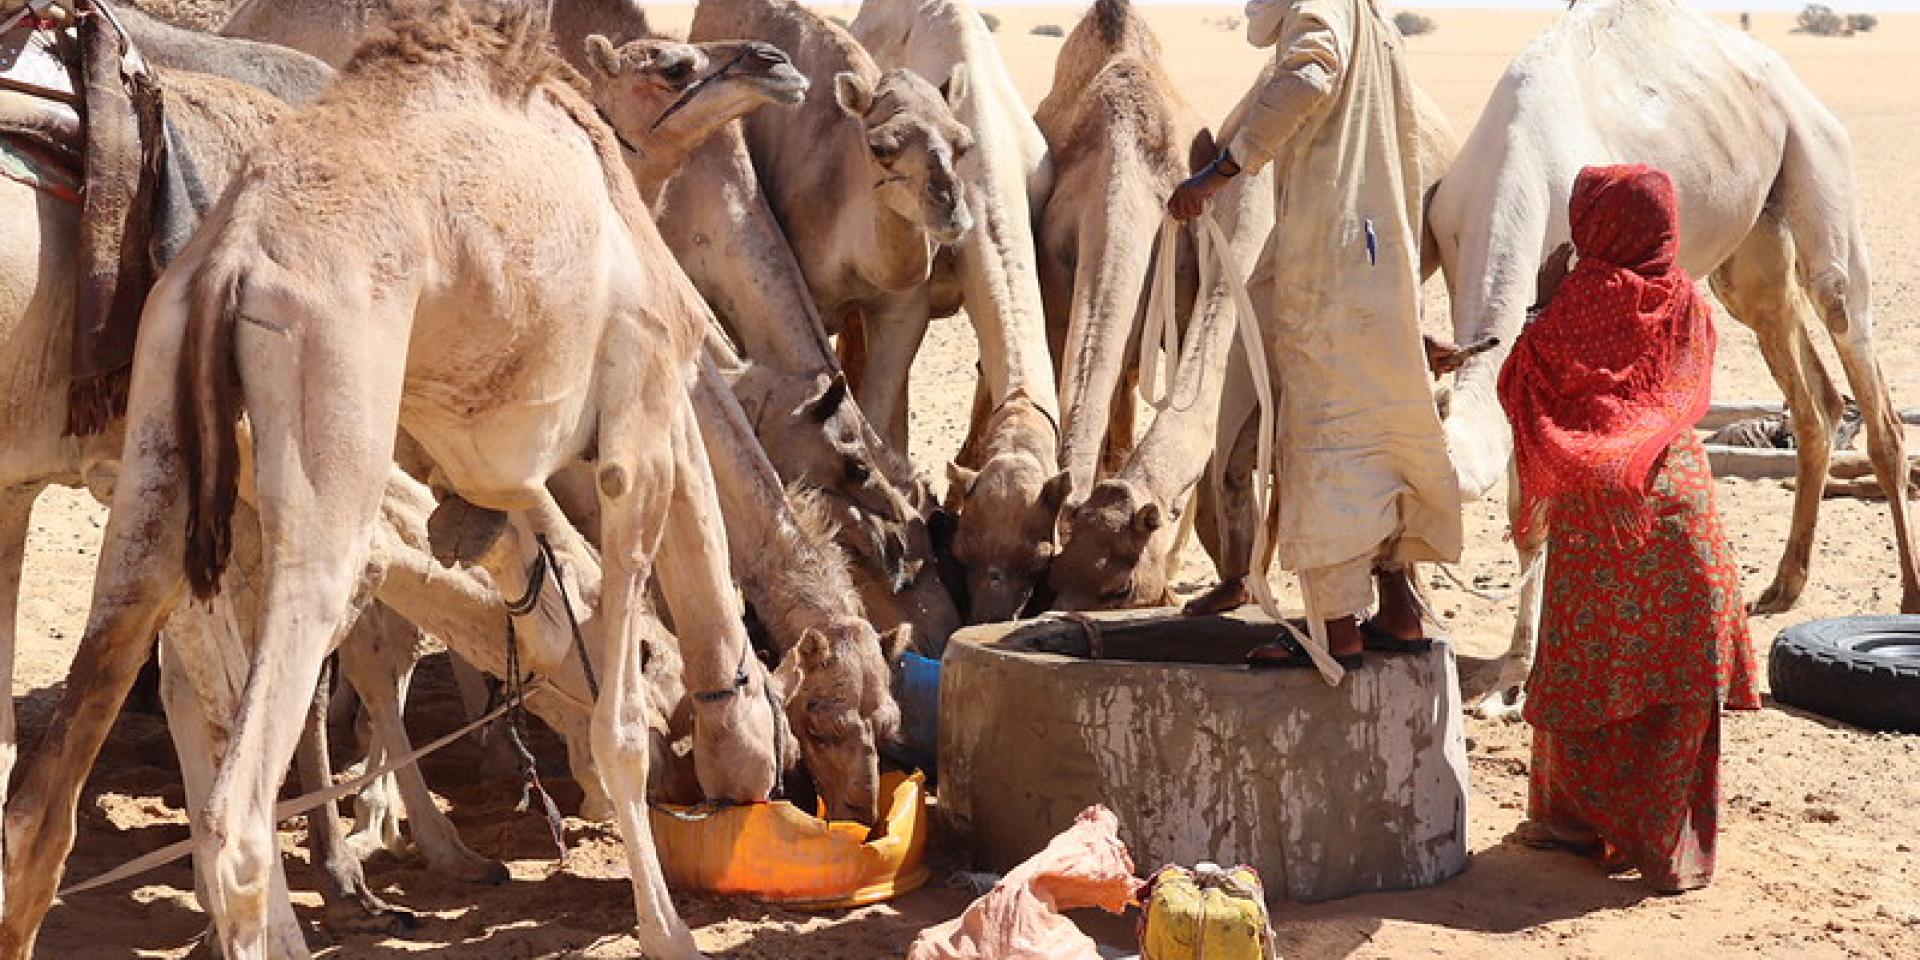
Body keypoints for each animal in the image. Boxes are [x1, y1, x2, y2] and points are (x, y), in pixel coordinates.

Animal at [0, 7, 778, 958]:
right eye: (673, 66)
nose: (777, 63)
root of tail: (227, 263)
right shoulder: (639, 434)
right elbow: (613, 718)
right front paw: (668, 931)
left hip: (154, 450)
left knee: (42, 805)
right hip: (327, 424)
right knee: (235, 810)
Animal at [1428, 0, 1918, 719]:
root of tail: (1786, 80)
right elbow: (1529, 514)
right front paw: (1511, 677)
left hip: (1821, 165)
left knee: (1865, 375)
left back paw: (1908, 599)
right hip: (1751, 253)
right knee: (1816, 398)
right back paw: (1781, 588)